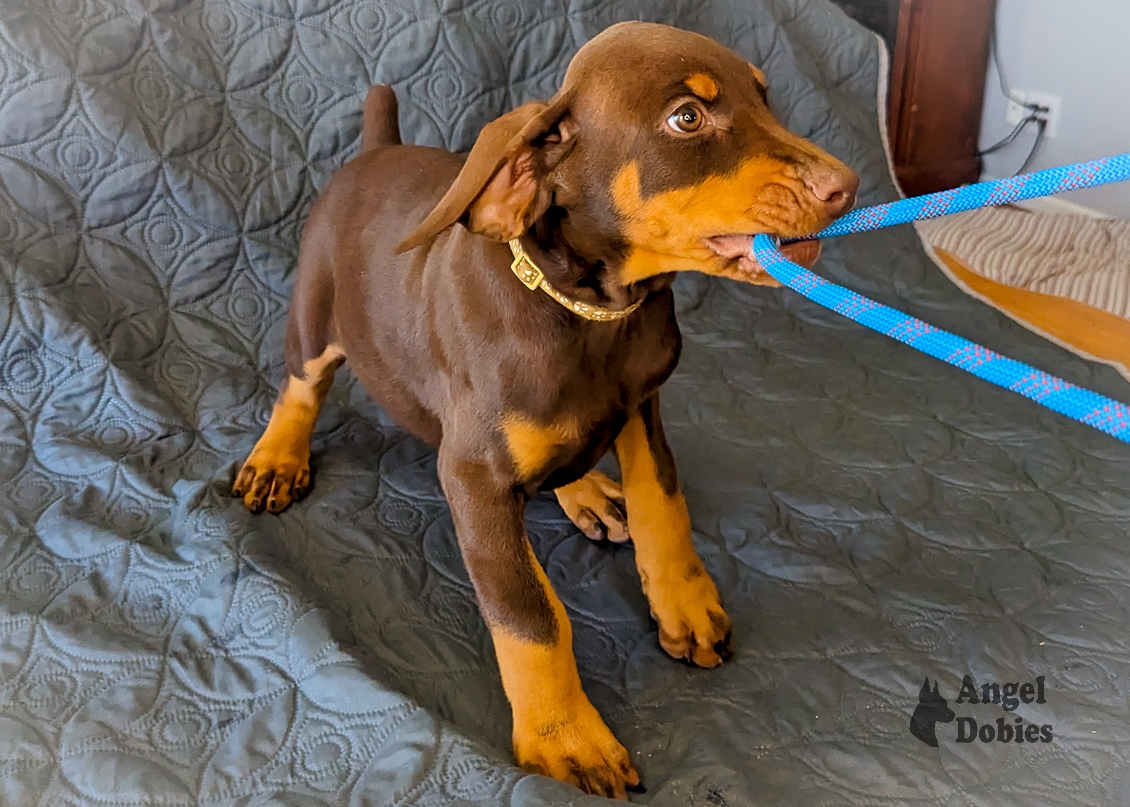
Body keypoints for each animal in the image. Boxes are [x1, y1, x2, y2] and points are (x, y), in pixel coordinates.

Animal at [231, 20, 854, 800]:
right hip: (317, 310)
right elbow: (531, 615)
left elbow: (664, 507)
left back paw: (585, 490)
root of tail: (376, 149)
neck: (590, 312)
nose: (845, 187)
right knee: (302, 383)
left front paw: (684, 602)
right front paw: (565, 735)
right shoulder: (473, 478)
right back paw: (278, 456)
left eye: (765, 97)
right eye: (687, 118)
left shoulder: (642, 404)